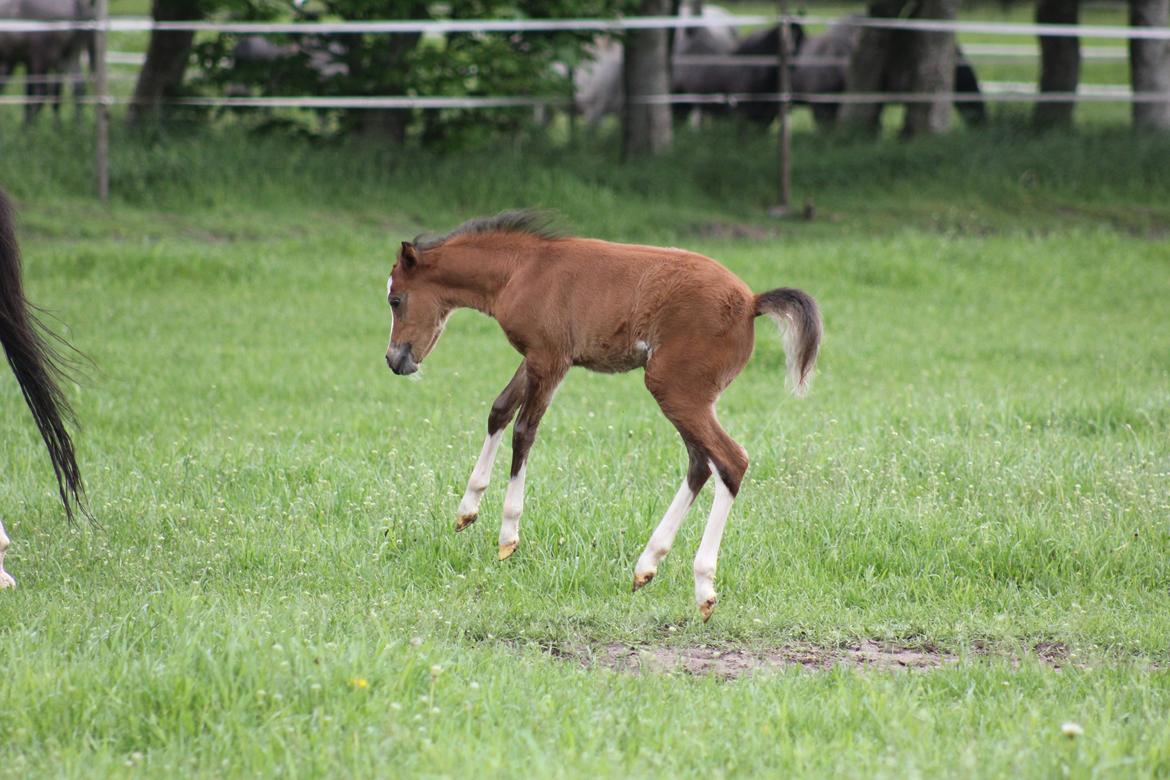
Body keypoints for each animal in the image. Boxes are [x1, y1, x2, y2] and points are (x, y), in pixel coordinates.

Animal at [384, 211, 821, 620]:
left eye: (396, 300)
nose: (394, 360)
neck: (521, 270)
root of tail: (751, 301)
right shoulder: (536, 358)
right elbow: (499, 411)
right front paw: (467, 510)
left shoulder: (551, 358)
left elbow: (525, 431)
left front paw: (508, 536)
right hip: (687, 395)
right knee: (700, 461)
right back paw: (647, 565)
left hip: (674, 388)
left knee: (730, 460)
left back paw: (703, 587)